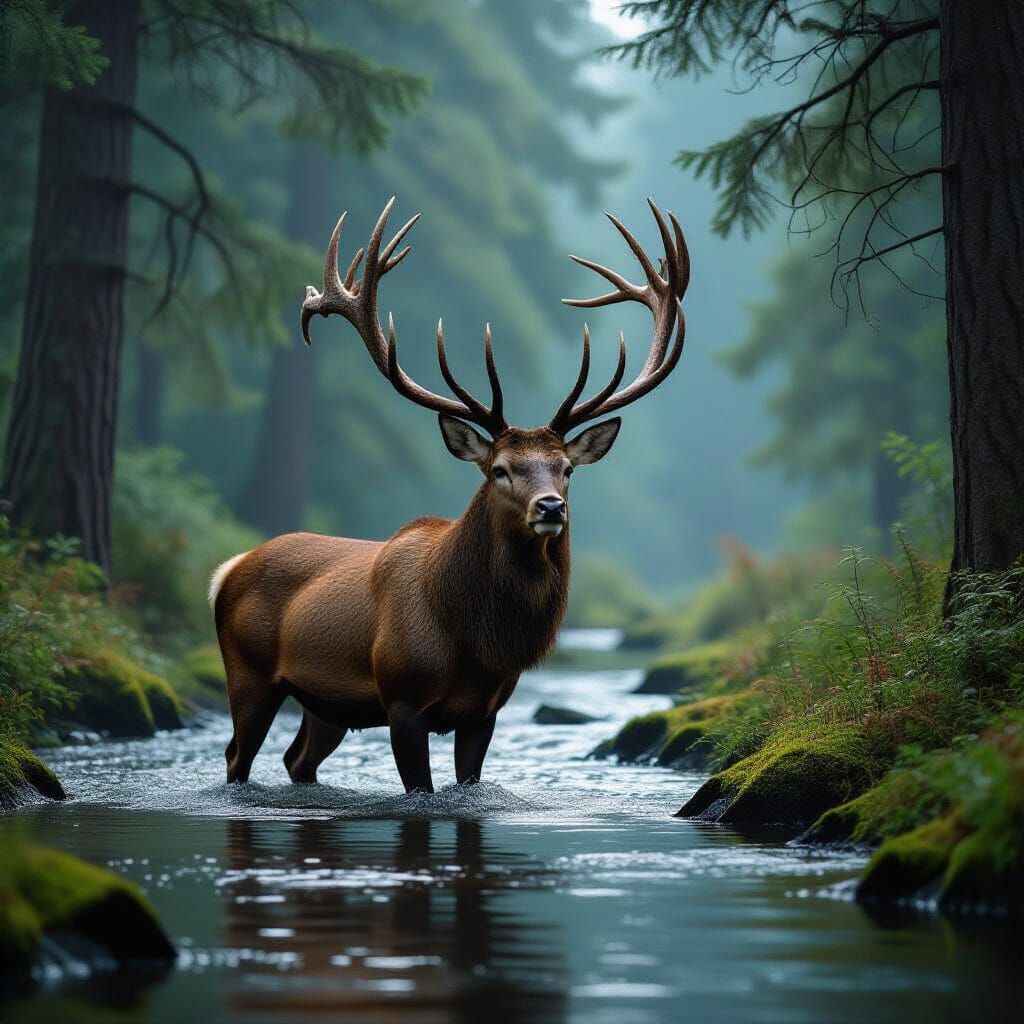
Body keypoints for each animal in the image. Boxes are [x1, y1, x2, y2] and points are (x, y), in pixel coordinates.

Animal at [209, 197, 689, 792]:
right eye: (500, 470)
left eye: (565, 470)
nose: (550, 507)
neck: (473, 645)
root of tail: (228, 569)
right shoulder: (400, 698)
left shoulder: (485, 711)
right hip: (248, 672)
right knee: (236, 757)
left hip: (327, 703)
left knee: (297, 760)